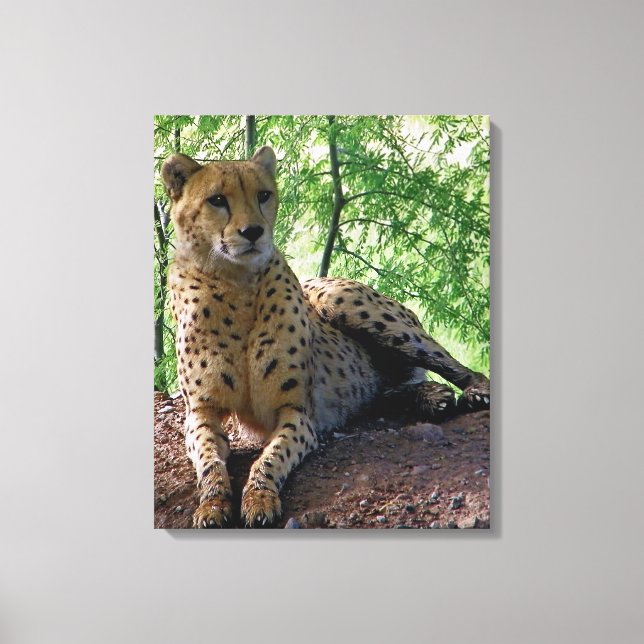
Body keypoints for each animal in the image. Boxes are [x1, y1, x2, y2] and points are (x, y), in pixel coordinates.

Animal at [160, 146, 490, 528]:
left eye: (263, 195)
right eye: (217, 200)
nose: (253, 231)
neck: (236, 283)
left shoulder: (296, 411)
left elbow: (270, 458)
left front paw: (259, 497)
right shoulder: (201, 412)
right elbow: (210, 462)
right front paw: (212, 504)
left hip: (347, 304)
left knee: (455, 367)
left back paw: (471, 393)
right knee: (381, 392)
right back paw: (430, 396)